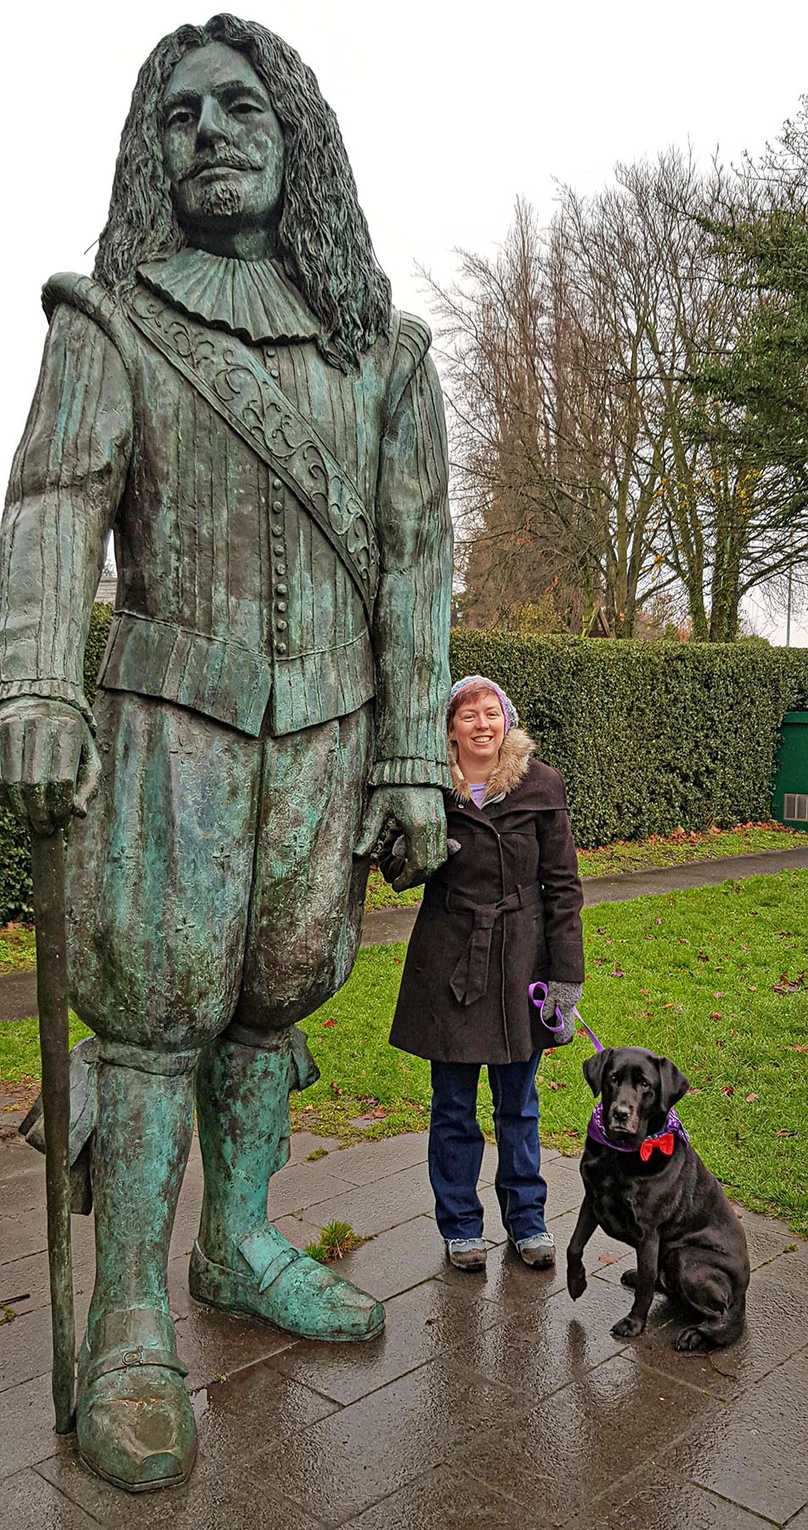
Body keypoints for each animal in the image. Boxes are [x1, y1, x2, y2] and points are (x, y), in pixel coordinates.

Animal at [566, 1040, 746, 1352]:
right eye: (613, 1078)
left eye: (645, 1085)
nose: (620, 1113)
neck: (618, 1155)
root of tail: (744, 1294)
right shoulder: (591, 1201)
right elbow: (574, 1247)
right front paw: (576, 1283)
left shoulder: (649, 1232)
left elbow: (646, 1286)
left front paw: (634, 1324)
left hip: (684, 1258)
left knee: (719, 1314)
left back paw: (694, 1335)